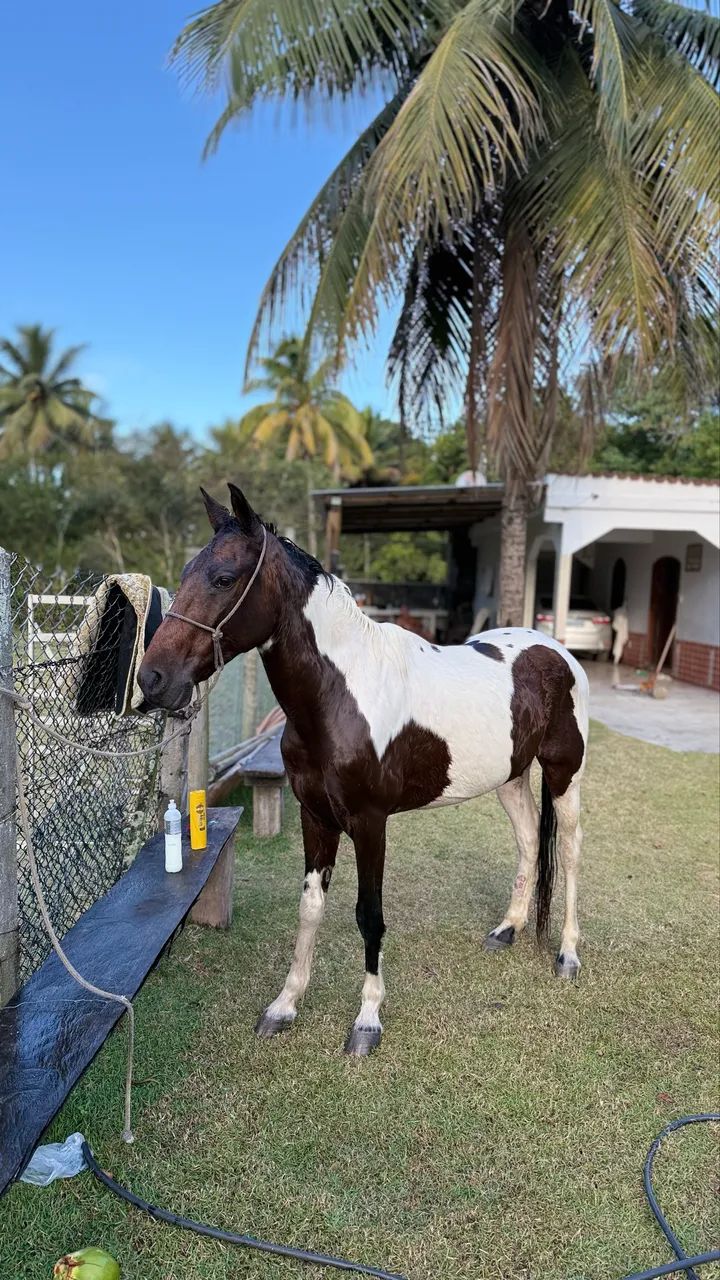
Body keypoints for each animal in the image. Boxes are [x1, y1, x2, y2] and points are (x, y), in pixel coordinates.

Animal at [139, 483, 589, 1056]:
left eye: (223, 578)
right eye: (186, 572)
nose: (153, 678)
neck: (338, 696)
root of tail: (555, 652)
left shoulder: (371, 824)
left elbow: (368, 916)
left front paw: (367, 1019)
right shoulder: (316, 817)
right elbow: (310, 908)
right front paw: (285, 1005)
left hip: (564, 772)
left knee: (569, 850)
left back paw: (568, 955)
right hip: (509, 776)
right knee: (530, 840)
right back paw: (507, 929)